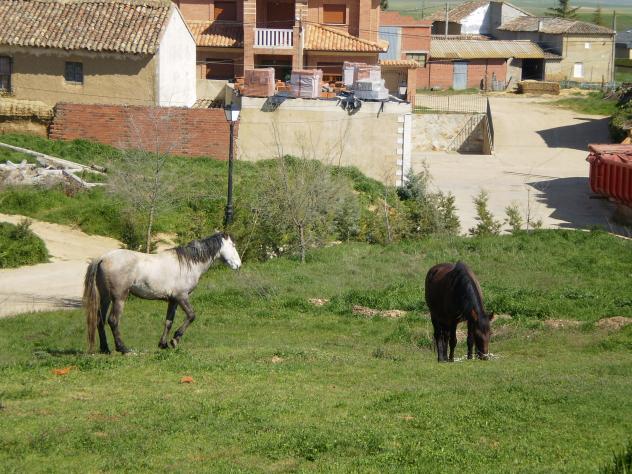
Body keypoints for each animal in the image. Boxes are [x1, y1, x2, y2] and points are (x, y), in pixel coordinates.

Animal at [83, 232, 241, 354]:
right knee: (113, 320)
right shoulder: (181, 296)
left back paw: (105, 349)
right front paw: (175, 340)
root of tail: (102, 258)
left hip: (105, 298)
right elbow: (191, 315)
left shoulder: (173, 300)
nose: (238, 265)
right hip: (119, 298)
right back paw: (123, 349)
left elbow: (168, 322)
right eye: (233, 245)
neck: (188, 263)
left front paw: (163, 344)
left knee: (100, 320)